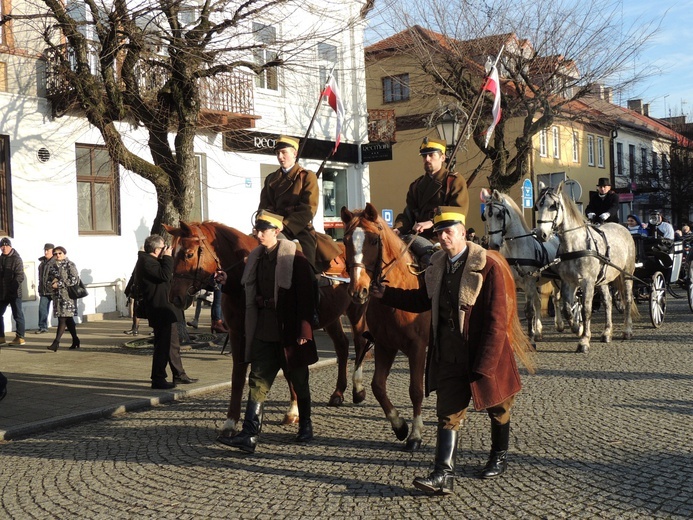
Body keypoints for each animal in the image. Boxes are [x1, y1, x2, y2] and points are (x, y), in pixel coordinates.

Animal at [164, 219, 368, 434]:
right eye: (172, 253)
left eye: (188, 254)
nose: (174, 297)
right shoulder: (239, 334)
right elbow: (239, 375)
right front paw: (231, 421)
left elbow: (288, 369)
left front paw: (293, 410)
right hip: (332, 317)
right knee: (342, 346)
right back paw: (338, 393)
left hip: (357, 309)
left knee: (360, 343)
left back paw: (358, 390)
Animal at [482, 189, 564, 344]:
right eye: (485, 216)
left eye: (499, 215)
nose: (493, 245)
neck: (516, 248)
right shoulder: (516, 282)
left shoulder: (529, 281)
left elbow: (529, 310)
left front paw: (530, 337)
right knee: (539, 302)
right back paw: (539, 332)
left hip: (556, 279)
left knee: (557, 299)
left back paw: (562, 324)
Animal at [532, 182, 636, 354]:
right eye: (537, 206)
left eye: (553, 206)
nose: (541, 234)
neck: (575, 245)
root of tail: (623, 228)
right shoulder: (568, 282)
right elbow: (567, 309)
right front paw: (577, 328)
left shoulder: (587, 282)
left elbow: (586, 310)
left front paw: (584, 340)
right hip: (602, 280)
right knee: (607, 302)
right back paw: (607, 332)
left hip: (626, 274)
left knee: (627, 299)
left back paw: (627, 331)